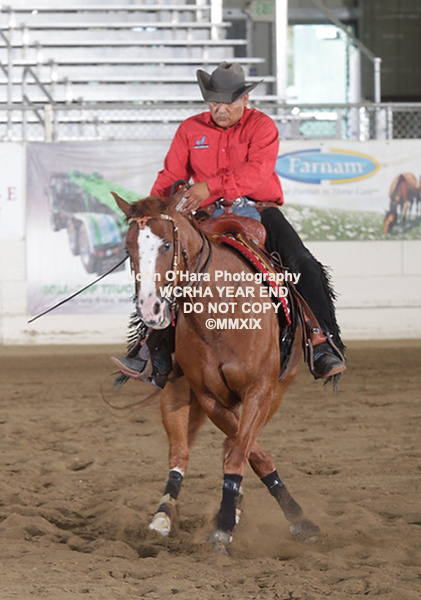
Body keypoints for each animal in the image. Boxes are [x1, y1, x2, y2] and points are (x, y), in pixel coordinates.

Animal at [112, 190, 320, 554]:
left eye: (167, 244)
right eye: (128, 247)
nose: (150, 309)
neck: (222, 312)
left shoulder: (261, 390)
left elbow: (241, 453)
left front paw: (286, 519)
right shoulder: (209, 396)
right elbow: (245, 451)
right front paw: (227, 520)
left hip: (276, 391)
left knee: (234, 446)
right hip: (178, 393)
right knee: (180, 453)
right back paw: (163, 516)